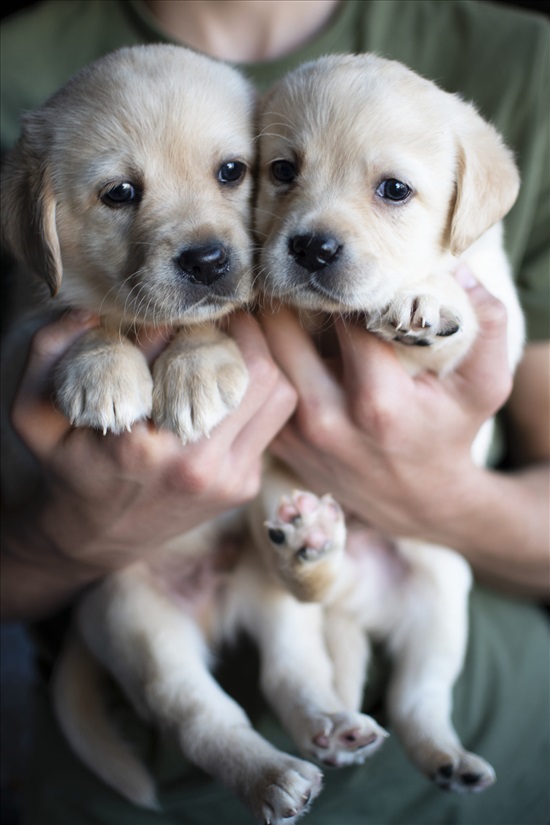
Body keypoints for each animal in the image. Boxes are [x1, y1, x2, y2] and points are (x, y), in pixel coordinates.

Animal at [254, 54, 528, 796]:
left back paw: (446, 758)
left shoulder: (498, 314)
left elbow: (460, 309)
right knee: (295, 639)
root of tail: (358, 602)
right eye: (282, 170)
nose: (311, 247)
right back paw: (309, 551)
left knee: (416, 700)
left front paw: (425, 296)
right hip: (272, 542)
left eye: (395, 190)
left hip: (442, 601)